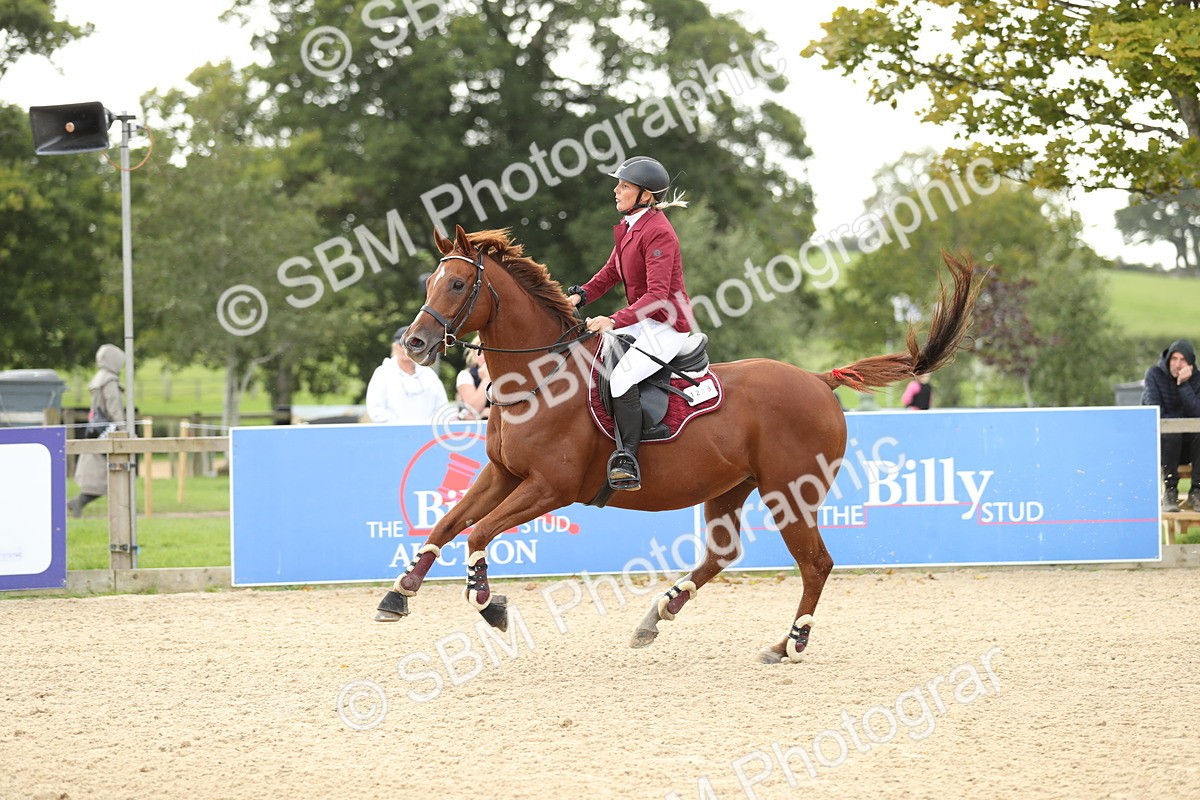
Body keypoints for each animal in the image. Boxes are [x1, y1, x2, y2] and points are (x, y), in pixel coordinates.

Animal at [374, 224, 981, 663]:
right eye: (431, 283)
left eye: (457, 285)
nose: (416, 343)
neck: (540, 380)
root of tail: (818, 380)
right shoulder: (502, 474)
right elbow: (448, 523)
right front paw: (399, 592)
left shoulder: (549, 487)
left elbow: (479, 532)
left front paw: (486, 601)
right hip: (731, 487)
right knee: (722, 554)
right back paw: (657, 615)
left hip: (791, 494)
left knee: (816, 564)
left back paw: (789, 643)